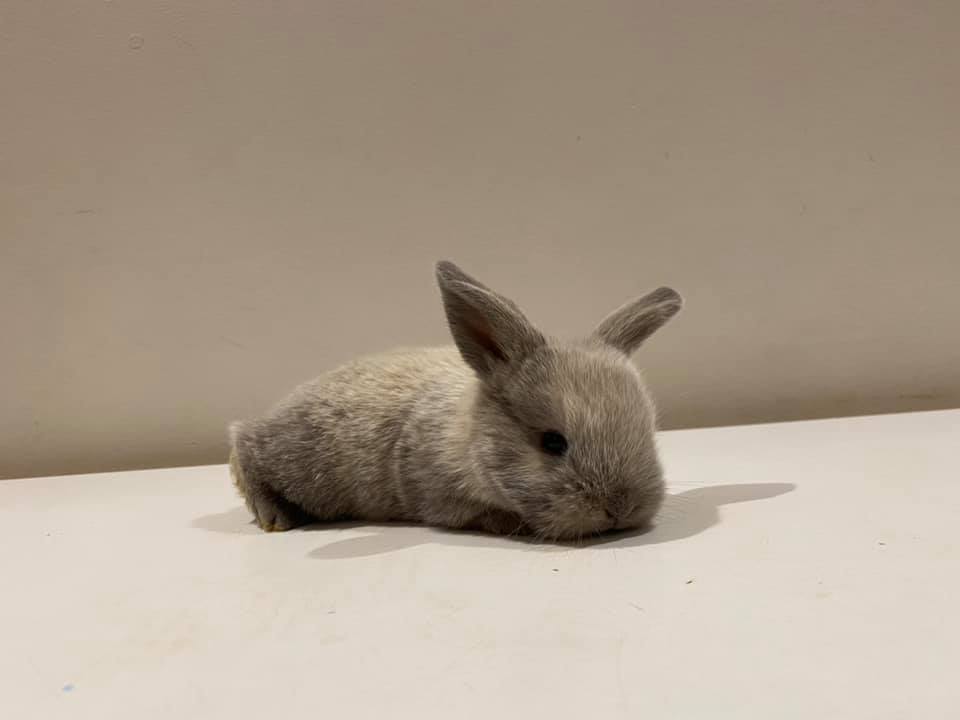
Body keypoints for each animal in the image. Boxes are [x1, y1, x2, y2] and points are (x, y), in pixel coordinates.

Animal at [228, 261, 682, 541]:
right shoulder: (438, 497)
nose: (621, 509)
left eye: (648, 434)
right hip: (301, 464)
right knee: (243, 445)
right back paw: (274, 518)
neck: (467, 438)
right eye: (553, 442)